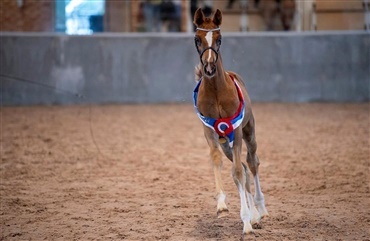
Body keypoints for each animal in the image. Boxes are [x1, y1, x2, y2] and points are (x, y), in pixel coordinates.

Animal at [192, 8, 268, 234]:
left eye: (219, 38)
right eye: (197, 39)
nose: (209, 68)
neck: (217, 92)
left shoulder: (237, 131)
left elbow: (238, 172)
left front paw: (247, 223)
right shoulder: (209, 131)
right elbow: (218, 161)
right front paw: (222, 205)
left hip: (249, 134)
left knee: (251, 163)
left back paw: (260, 209)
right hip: (226, 143)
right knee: (243, 168)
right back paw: (254, 215)